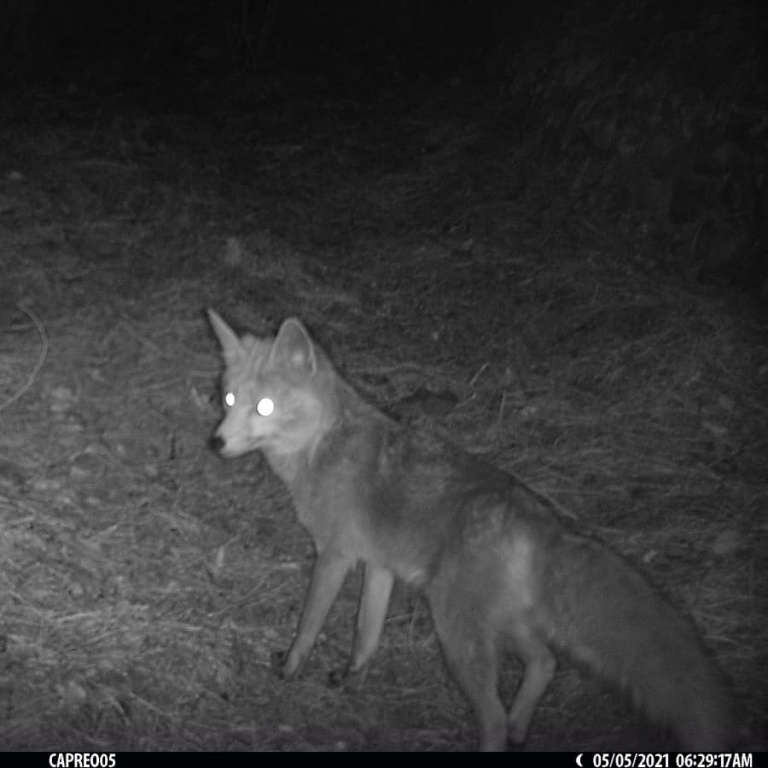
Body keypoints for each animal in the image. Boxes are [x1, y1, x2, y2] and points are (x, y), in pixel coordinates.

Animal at [207, 310, 736, 752]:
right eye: (229, 399)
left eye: (265, 407)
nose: (216, 443)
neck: (323, 445)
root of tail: (541, 518)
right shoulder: (379, 564)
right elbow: (366, 634)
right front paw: (353, 681)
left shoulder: (336, 555)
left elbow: (309, 625)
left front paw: (289, 671)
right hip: (500, 623)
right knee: (545, 662)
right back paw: (523, 725)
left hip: (457, 634)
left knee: (495, 717)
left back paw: (503, 730)